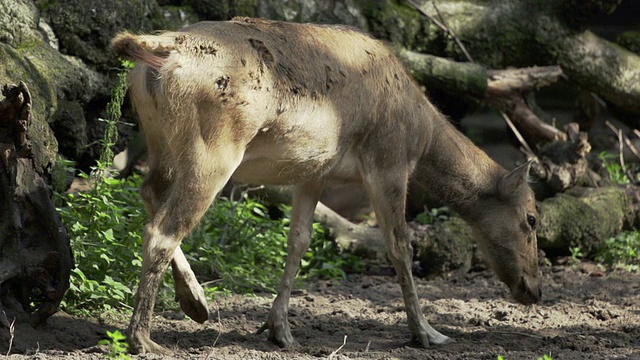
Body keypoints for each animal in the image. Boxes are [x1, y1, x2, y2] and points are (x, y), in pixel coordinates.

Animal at [110, 16, 540, 354]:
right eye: (533, 218)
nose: (535, 290)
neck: (422, 134)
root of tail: (158, 52)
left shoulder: (312, 174)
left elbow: (299, 241)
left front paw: (279, 330)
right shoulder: (388, 163)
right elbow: (400, 246)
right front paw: (427, 333)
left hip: (159, 139)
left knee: (148, 192)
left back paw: (195, 303)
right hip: (214, 149)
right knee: (162, 230)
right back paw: (143, 338)